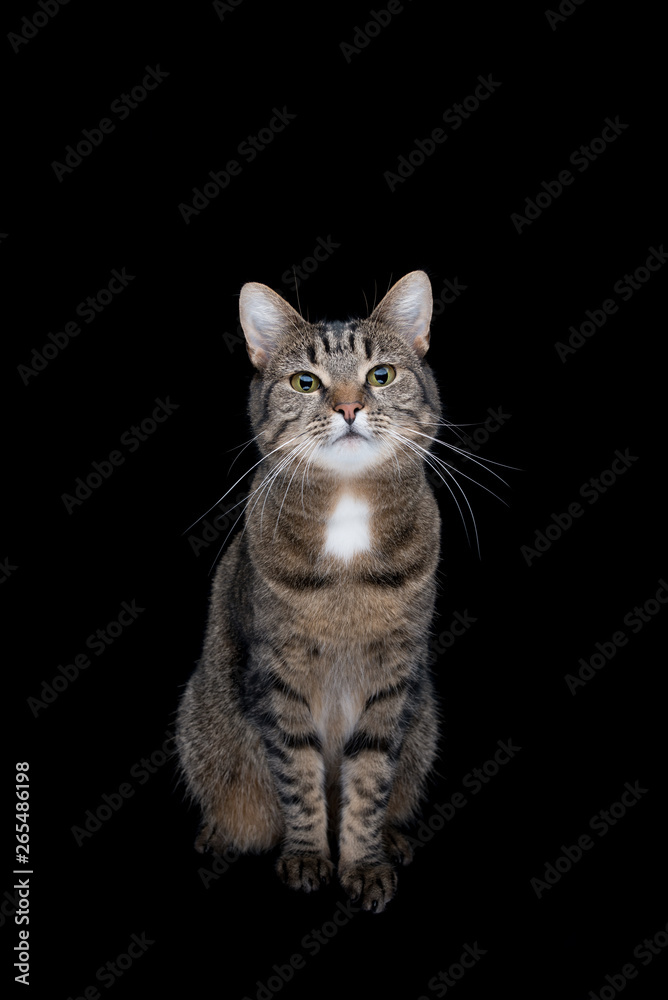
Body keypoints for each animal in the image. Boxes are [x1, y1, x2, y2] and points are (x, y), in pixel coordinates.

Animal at [176, 270, 444, 912]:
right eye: (306, 382)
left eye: (380, 375)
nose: (348, 407)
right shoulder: (278, 672)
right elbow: (298, 774)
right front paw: (306, 857)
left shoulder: (393, 675)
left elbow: (369, 780)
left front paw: (364, 862)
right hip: (203, 720)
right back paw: (219, 833)